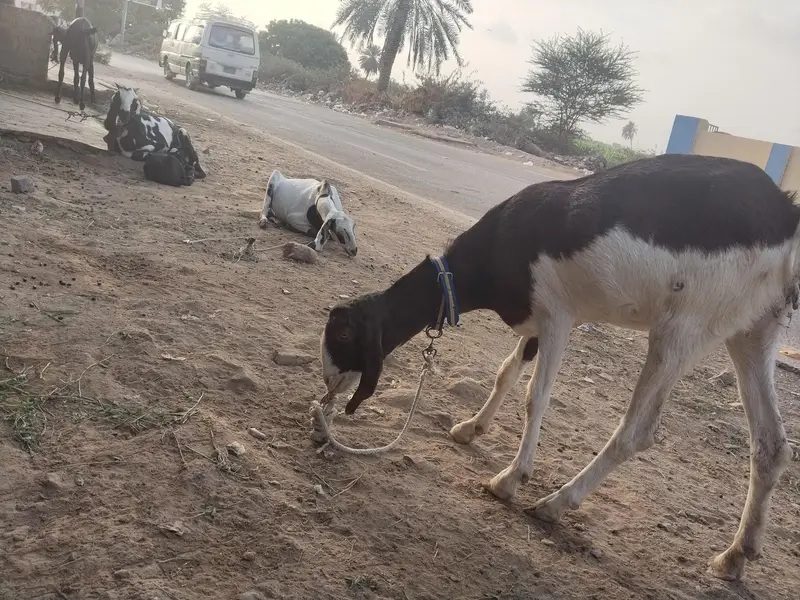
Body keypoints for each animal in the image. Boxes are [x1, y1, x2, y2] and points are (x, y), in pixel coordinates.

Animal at [320, 153, 800, 582]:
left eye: (342, 334)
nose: (327, 391)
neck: (502, 244)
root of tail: (785, 212)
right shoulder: (536, 321)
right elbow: (506, 371)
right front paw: (470, 428)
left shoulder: (557, 316)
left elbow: (536, 396)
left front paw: (510, 479)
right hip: (753, 330)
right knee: (771, 446)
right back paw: (735, 555)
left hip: (682, 329)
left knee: (638, 431)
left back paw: (554, 503)